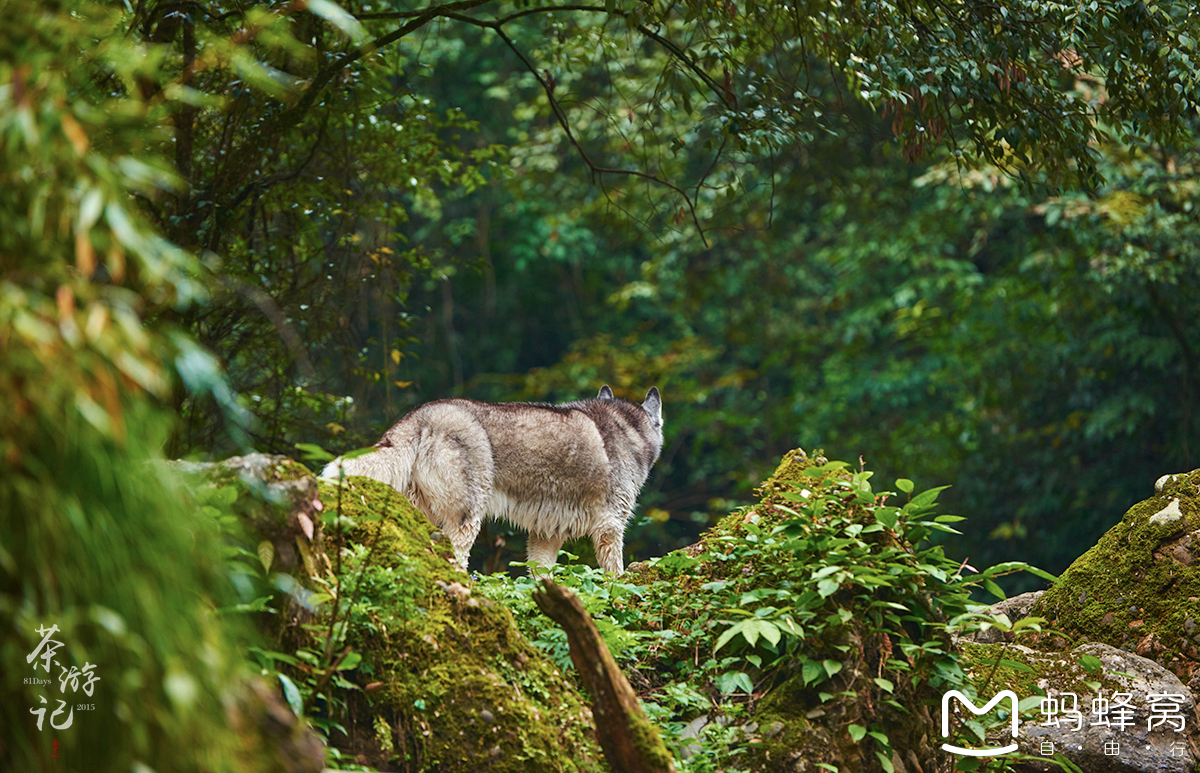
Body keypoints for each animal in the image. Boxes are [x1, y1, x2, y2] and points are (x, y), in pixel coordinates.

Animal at [324, 386, 667, 573]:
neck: (630, 431)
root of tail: (420, 415)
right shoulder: (610, 527)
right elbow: (616, 576)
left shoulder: (545, 536)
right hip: (468, 520)